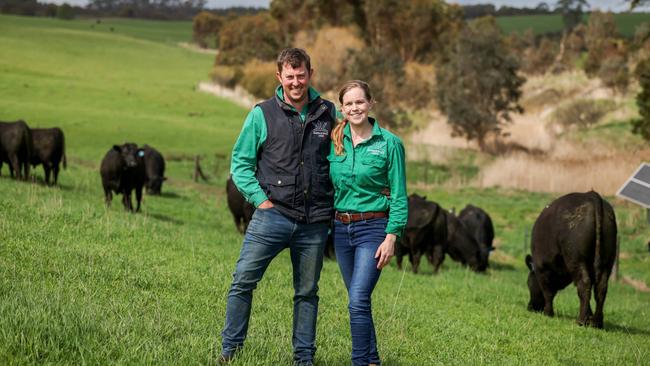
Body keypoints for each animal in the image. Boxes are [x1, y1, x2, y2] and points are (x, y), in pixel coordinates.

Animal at [524, 192, 616, 328]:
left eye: (529, 284)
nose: (530, 307)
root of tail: (591, 195)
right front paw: (589, 316)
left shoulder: (542, 268)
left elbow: (548, 291)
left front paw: (548, 312)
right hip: (607, 261)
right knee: (600, 287)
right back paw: (596, 322)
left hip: (577, 259)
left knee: (584, 283)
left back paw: (581, 320)